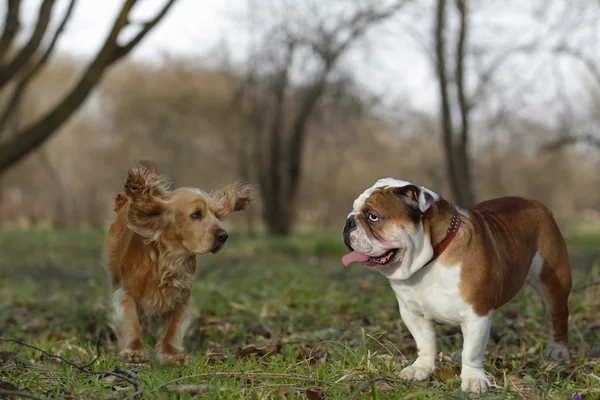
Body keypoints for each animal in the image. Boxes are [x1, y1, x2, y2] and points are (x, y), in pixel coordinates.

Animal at [104, 163, 252, 366]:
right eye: (196, 214)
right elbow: (131, 321)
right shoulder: (127, 292)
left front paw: (172, 354)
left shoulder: (181, 297)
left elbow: (173, 327)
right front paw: (134, 350)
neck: (170, 260)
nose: (224, 235)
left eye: (215, 214)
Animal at [342, 178, 572, 394]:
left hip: (552, 283)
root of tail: (537, 204)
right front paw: (421, 368)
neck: (431, 258)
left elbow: (472, 353)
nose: (349, 222)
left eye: (373, 217)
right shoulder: (412, 313)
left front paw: (473, 379)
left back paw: (557, 350)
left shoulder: (476, 313)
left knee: (557, 317)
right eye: (354, 209)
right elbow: (425, 343)